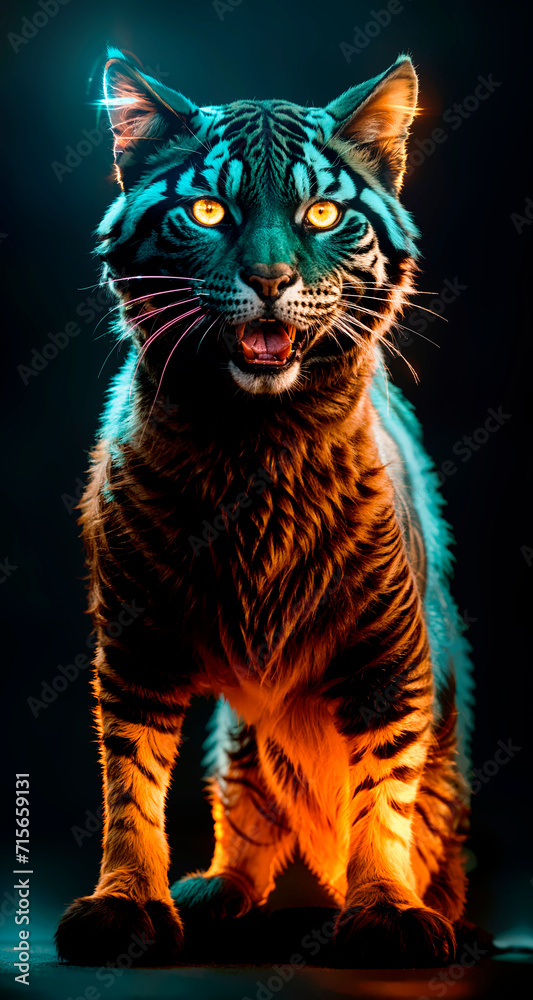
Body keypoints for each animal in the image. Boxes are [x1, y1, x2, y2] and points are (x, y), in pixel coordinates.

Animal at [55, 49, 474, 967]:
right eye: (209, 210)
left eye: (322, 213)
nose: (271, 279)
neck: (255, 440)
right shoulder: (135, 643)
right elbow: (130, 785)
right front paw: (124, 902)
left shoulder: (389, 655)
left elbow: (384, 787)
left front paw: (387, 906)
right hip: (239, 735)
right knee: (243, 805)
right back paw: (217, 889)